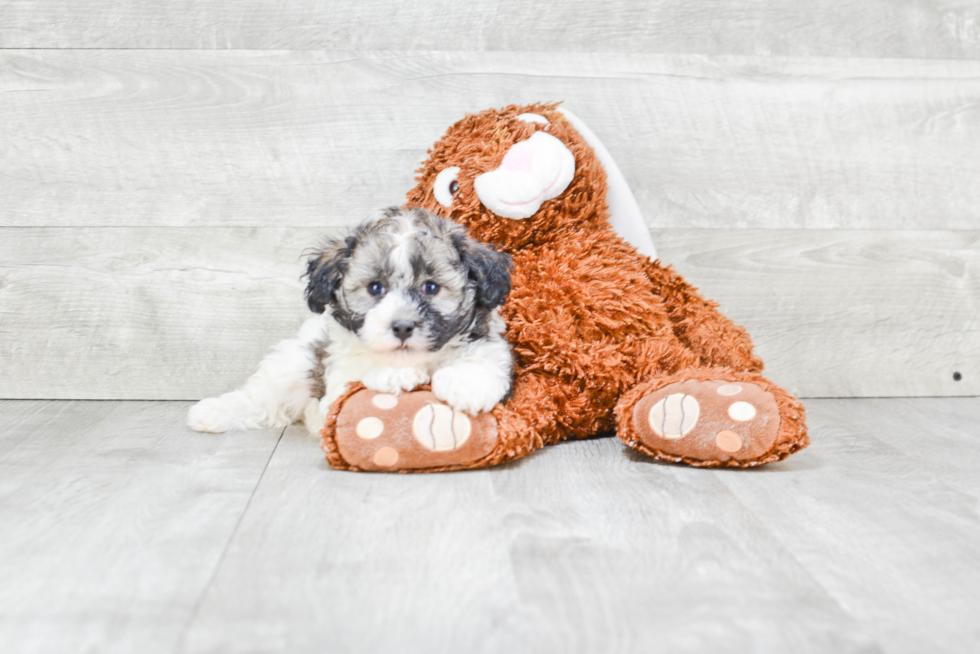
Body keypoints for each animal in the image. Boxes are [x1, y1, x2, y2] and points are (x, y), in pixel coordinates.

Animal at [187, 208, 516, 438]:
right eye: (375, 288)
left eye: (431, 287)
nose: (402, 326)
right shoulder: (336, 383)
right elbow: (357, 376)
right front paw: (392, 374)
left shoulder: (490, 346)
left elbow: (483, 361)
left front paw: (465, 385)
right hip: (295, 362)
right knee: (263, 397)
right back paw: (212, 412)